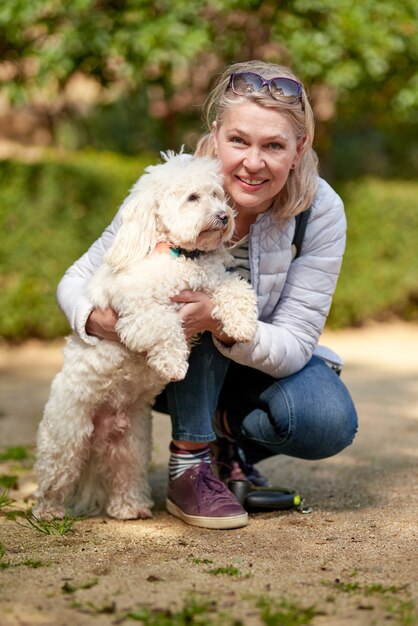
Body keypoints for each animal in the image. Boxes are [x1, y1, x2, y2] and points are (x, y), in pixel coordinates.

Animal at [34, 154, 258, 520]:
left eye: (217, 195)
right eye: (192, 198)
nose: (225, 216)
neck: (179, 255)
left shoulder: (212, 285)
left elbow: (236, 288)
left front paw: (242, 325)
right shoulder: (135, 313)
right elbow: (164, 324)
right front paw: (174, 363)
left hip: (132, 444)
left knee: (125, 476)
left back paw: (131, 508)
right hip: (66, 439)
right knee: (54, 478)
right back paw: (48, 514)